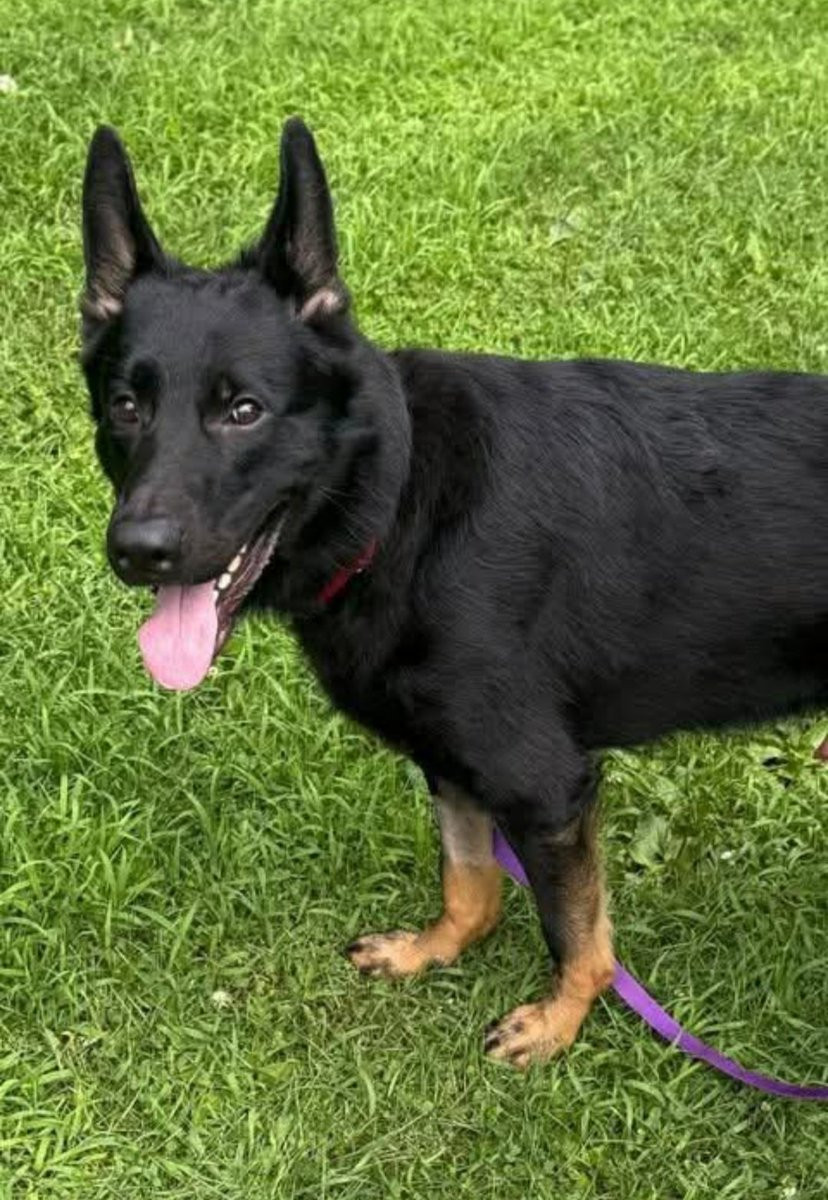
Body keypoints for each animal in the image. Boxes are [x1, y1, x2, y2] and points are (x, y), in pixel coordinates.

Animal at [80, 118, 828, 1069]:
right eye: (125, 406)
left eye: (242, 411)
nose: (138, 553)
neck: (399, 504)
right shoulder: (452, 763)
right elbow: (469, 879)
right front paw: (435, 949)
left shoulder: (546, 786)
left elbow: (576, 930)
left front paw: (559, 1020)